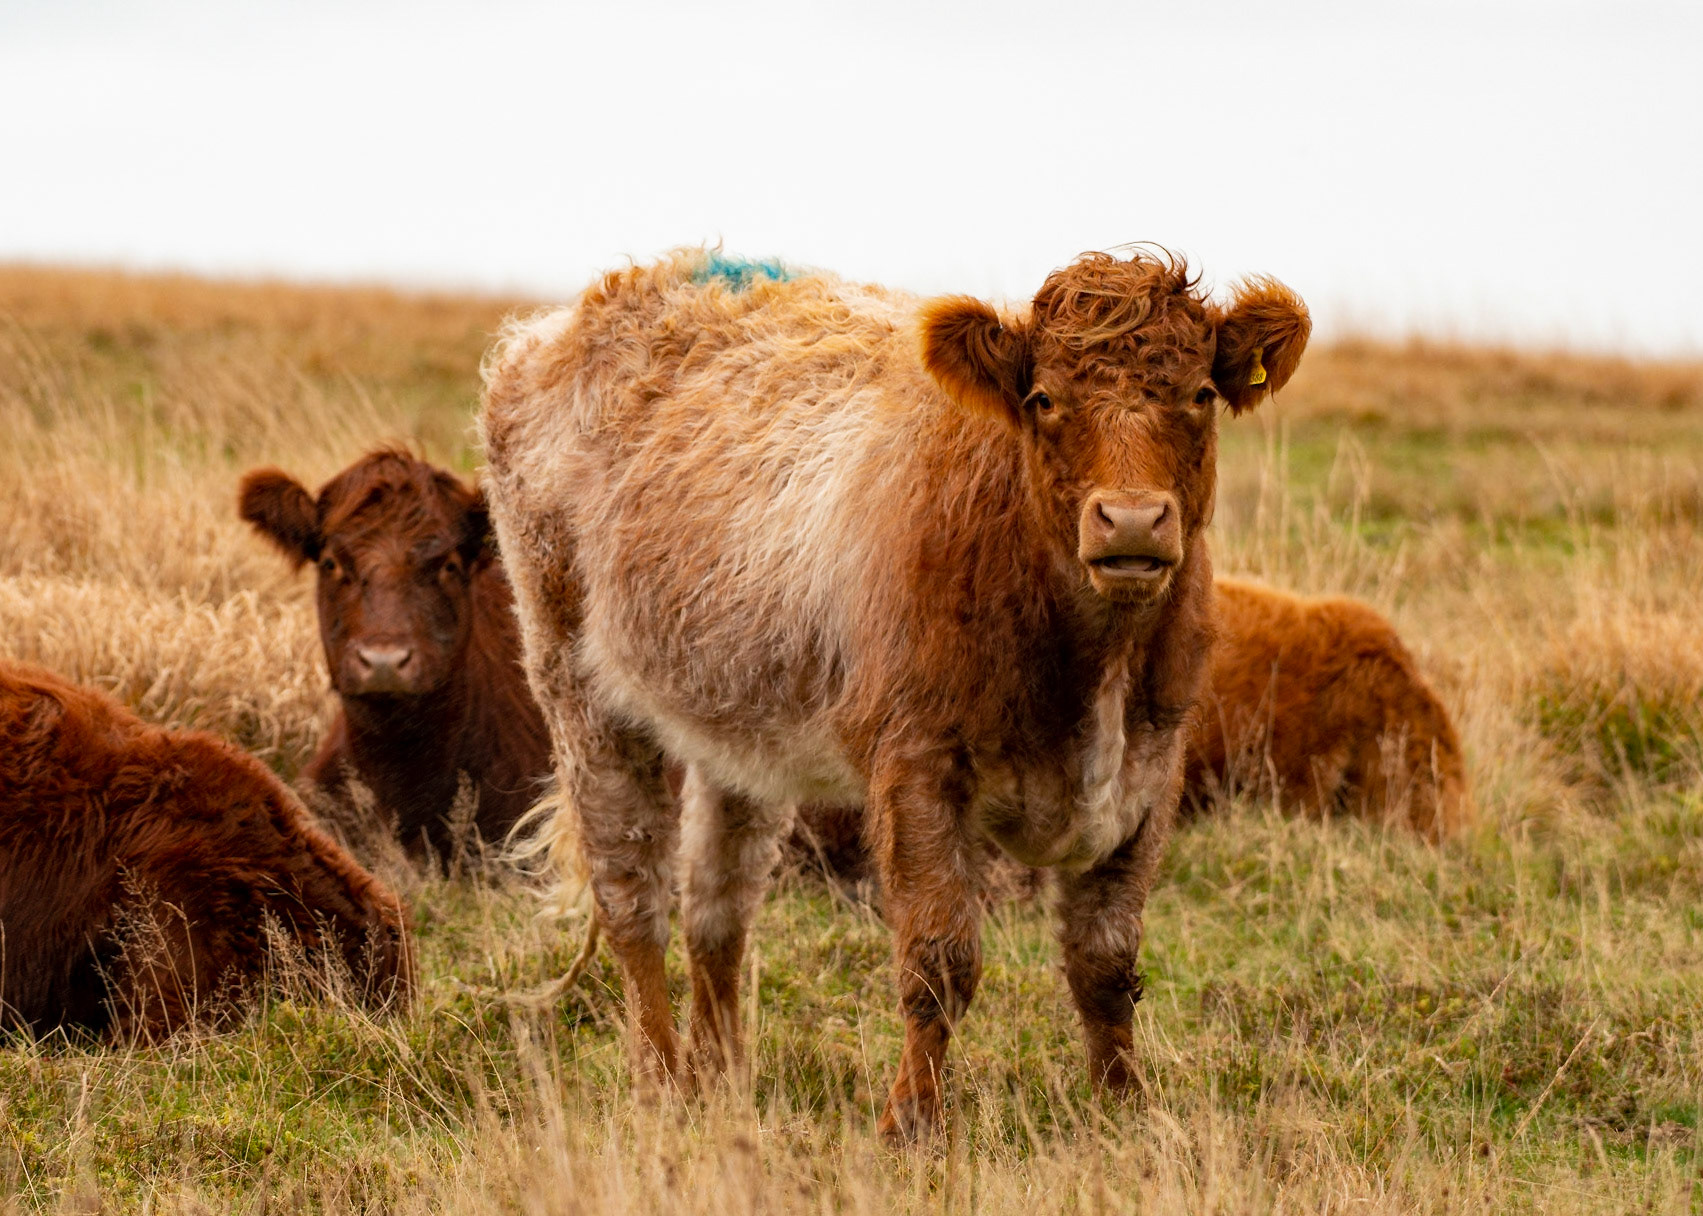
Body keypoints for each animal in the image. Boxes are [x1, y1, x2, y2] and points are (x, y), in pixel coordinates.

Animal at [478, 248, 1309, 1139]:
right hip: (576, 684)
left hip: (738, 723)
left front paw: (1125, 1110)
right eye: (1044, 400)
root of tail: (579, 313)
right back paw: (660, 1082)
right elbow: (939, 960)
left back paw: (721, 1079)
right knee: (632, 895)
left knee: (717, 906)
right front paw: (911, 1121)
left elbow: (1106, 962)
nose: (1129, 521)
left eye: (1199, 395)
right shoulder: (917, 765)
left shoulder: (1150, 772)